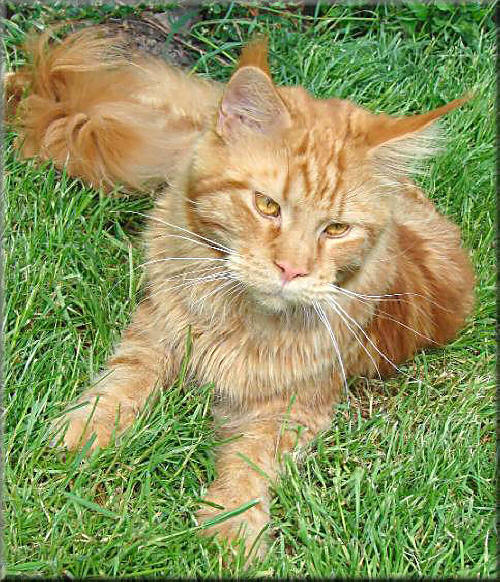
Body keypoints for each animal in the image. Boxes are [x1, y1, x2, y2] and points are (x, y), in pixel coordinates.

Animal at [7, 27, 475, 557]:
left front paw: (229, 529)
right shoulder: (155, 331)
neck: (236, 320)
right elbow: (122, 383)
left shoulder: (292, 409)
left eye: (336, 229)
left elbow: (250, 464)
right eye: (267, 205)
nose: (291, 269)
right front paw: (83, 431)